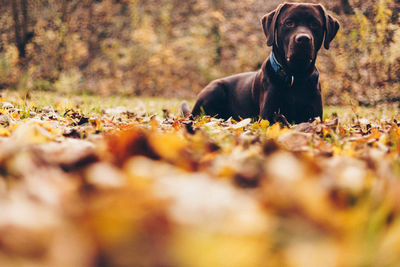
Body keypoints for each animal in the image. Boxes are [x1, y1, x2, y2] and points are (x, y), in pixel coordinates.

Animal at [183, 2, 340, 124]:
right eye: (289, 23)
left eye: (315, 24)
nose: (303, 39)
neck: (295, 75)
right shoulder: (267, 116)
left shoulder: (315, 117)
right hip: (214, 90)